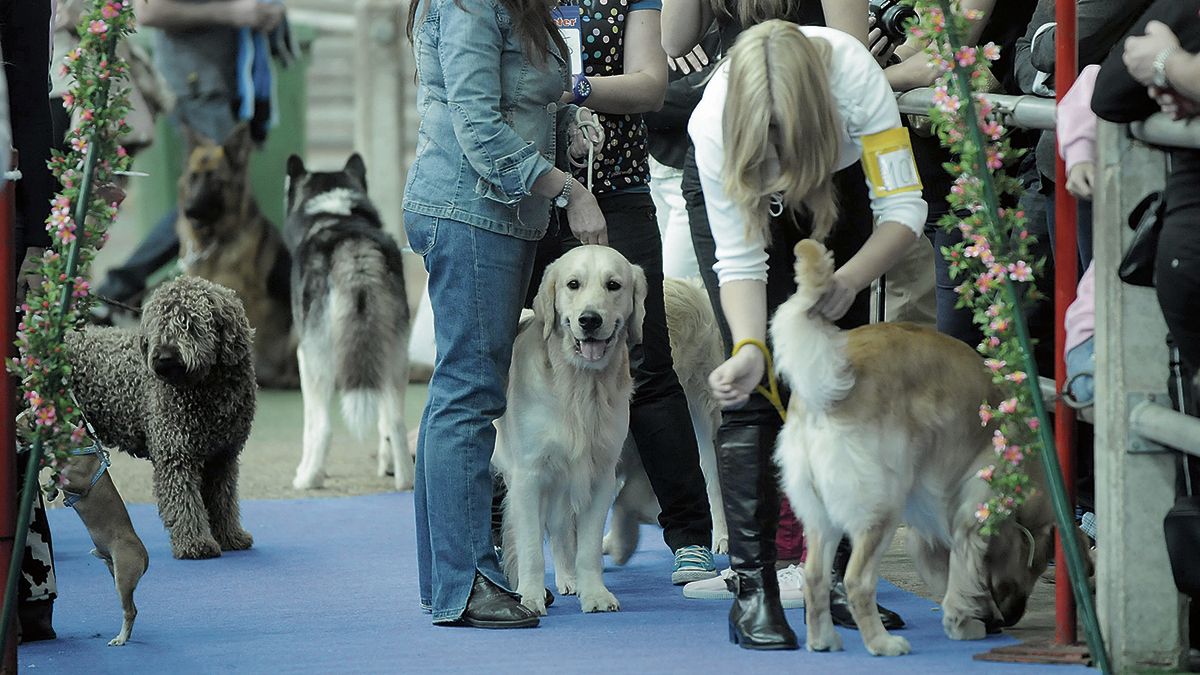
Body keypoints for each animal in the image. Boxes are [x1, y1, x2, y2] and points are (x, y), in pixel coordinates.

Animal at [66, 273, 258, 557]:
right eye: (158, 325)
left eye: (189, 322)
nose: (164, 356)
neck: (207, 390)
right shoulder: (176, 454)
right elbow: (185, 503)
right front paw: (195, 543)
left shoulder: (222, 458)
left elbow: (223, 502)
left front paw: (230, 536)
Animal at [283, 153, 415, 487]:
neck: (335, 215)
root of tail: (355, 249)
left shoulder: (303, 357)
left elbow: (309, 429)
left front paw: (307, 470)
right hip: (395, 357)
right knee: (394, 421)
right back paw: (405, 480)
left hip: (321, 363)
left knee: (325, 427)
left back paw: (308, 480)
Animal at [768, 239, 1051, 653]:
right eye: (1035, 569)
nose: (1010, 618)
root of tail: (834, 380)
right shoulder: (972, 512)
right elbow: (963, 571)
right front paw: (965, 622)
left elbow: (949, 568)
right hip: (882, 507)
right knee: (856, 581)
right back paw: (882, 644)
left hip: (820, 514)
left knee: (816, 577)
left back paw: (823, 640)